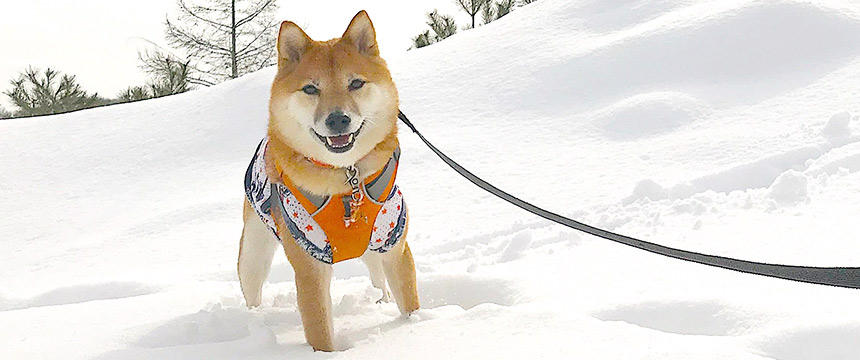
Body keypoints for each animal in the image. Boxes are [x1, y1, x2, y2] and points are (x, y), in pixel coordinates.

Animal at [239, 10, 420, 348]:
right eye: (311, 89)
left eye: (356, 83)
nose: (338, 119)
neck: (345, 178)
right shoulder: (309, 262)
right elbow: (320, 331)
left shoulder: (393, 243)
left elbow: (410, 304)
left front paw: (415, 326)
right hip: (253, 255)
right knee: (252, 291)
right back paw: (255, 326)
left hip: (371, 248)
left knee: (377, 275)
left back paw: (381, 299)